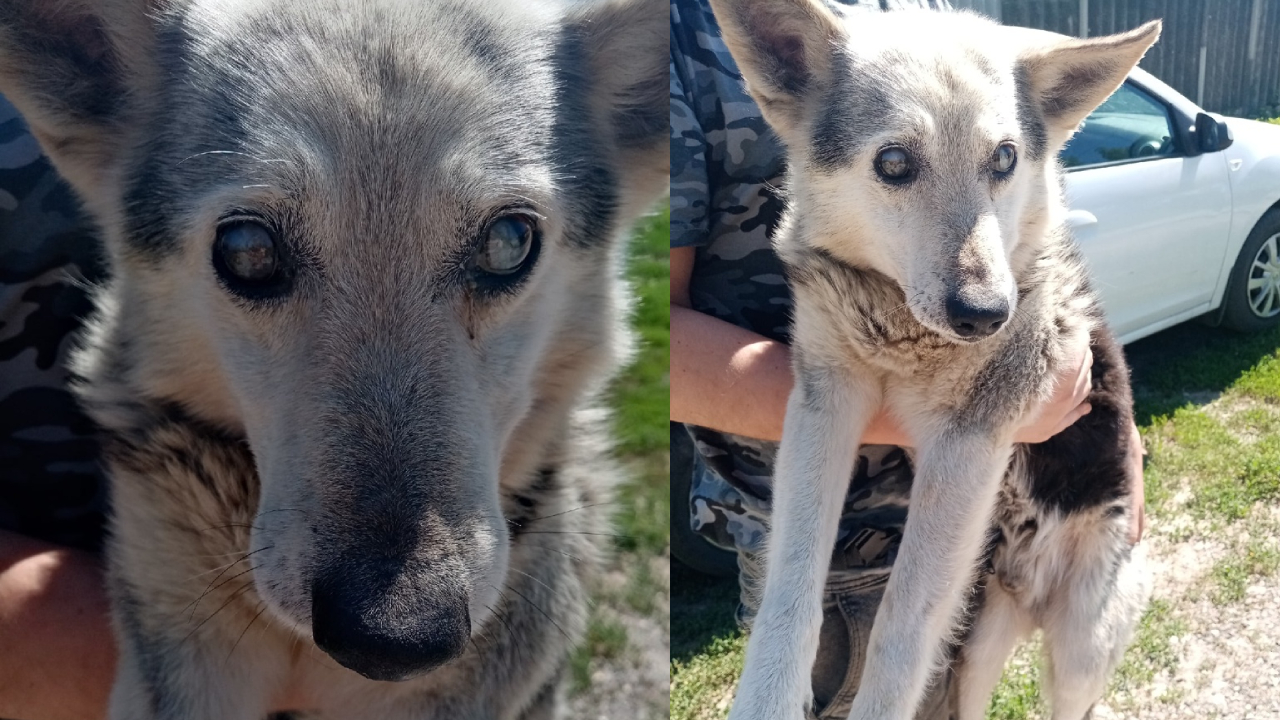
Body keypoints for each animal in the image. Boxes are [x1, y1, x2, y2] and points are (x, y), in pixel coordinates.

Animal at [711, 1, 1162, 717]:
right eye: (894, 162)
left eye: (1004, 158)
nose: (987, 314)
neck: (893, 325)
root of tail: (1029, 589)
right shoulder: (824, 403)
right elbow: (790, 586)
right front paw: (768, 696)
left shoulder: (967, 441)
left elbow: (900, 625)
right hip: (977, 648)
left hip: (1079, 655)